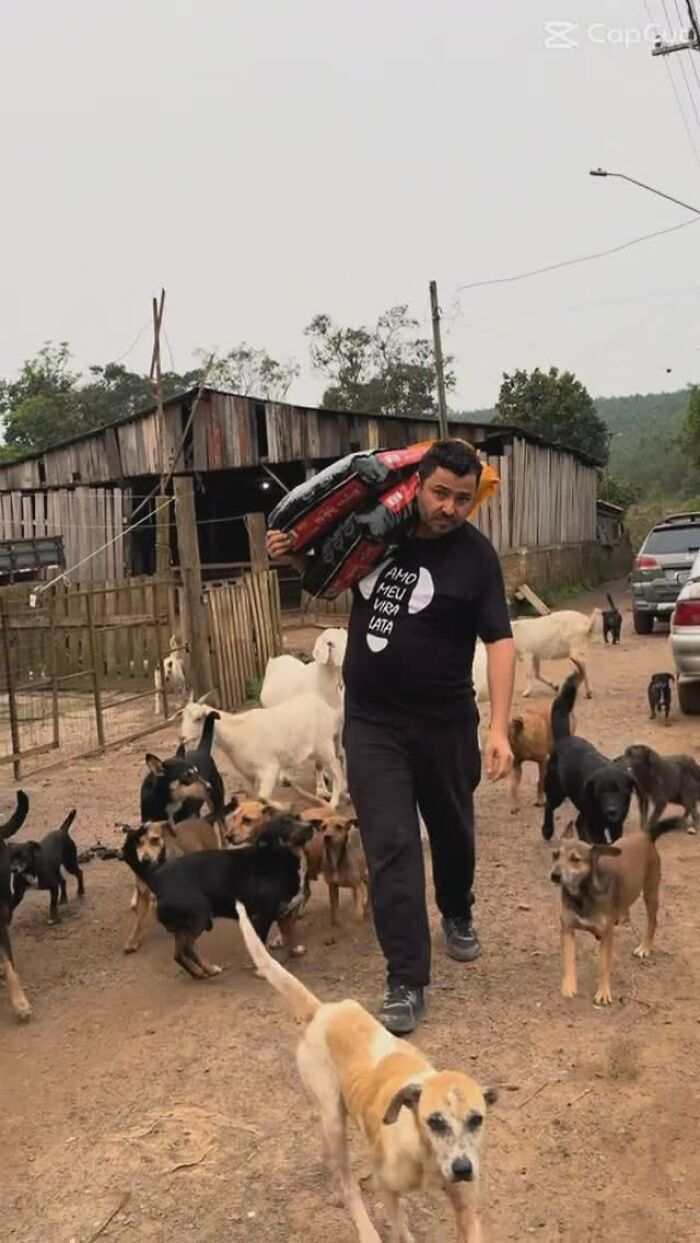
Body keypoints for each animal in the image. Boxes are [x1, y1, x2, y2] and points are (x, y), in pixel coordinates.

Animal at [121, 815, 314, 979]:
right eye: (284, 825)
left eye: (297, 818)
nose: (311, 826)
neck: (278, 858)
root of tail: (157, 878)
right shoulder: (261, 918)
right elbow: (263, 946)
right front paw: (263, 970)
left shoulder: (286, 913)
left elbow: (289, 936)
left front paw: (293, 952)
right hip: (199, 915)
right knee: (188, 948)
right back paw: (209, 969)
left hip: (185, 925)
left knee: (178, 954)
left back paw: (200, 973)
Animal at [179, 696, 345, 810]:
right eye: (183, 717)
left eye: (198, 718)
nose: (182, 737)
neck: (238, 732)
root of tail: (330, 711)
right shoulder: (248, 774)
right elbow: (255, 797)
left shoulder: (269, 768)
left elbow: (263, 797)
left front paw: (283, 806)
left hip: (324, 746)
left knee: (337, 769)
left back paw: (334, 802)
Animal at [237, 899, 497, 1243]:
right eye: (434, 1121)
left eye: (477, 1119)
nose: (463, 1168)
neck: (426, 1156)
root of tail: (322, 1010)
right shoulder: (387, 1189)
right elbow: (401, 1231)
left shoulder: (467, 1210)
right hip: (334, 1117)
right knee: (349, 1186)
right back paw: (364, 1227)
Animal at [542, 671, 636, 845]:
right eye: (601, 791)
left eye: (620, 790)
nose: (612, 811)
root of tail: (564, 738)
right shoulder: (595, 825)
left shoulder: (616, 825)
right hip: (557, 791)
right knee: (549, 806)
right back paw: (547, 829)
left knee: (579, 822)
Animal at [554, 815, 686, 1009]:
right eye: (555, 855)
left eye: (575, 859)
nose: (555, 875)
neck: (583, 894)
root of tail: (646, 835)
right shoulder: (568, 929)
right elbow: (569, 960)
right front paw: (568, 985)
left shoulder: (607, 936)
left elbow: (604, 966)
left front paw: (603, 992)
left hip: (650, 891)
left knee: (653, 921)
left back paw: (644, 947)